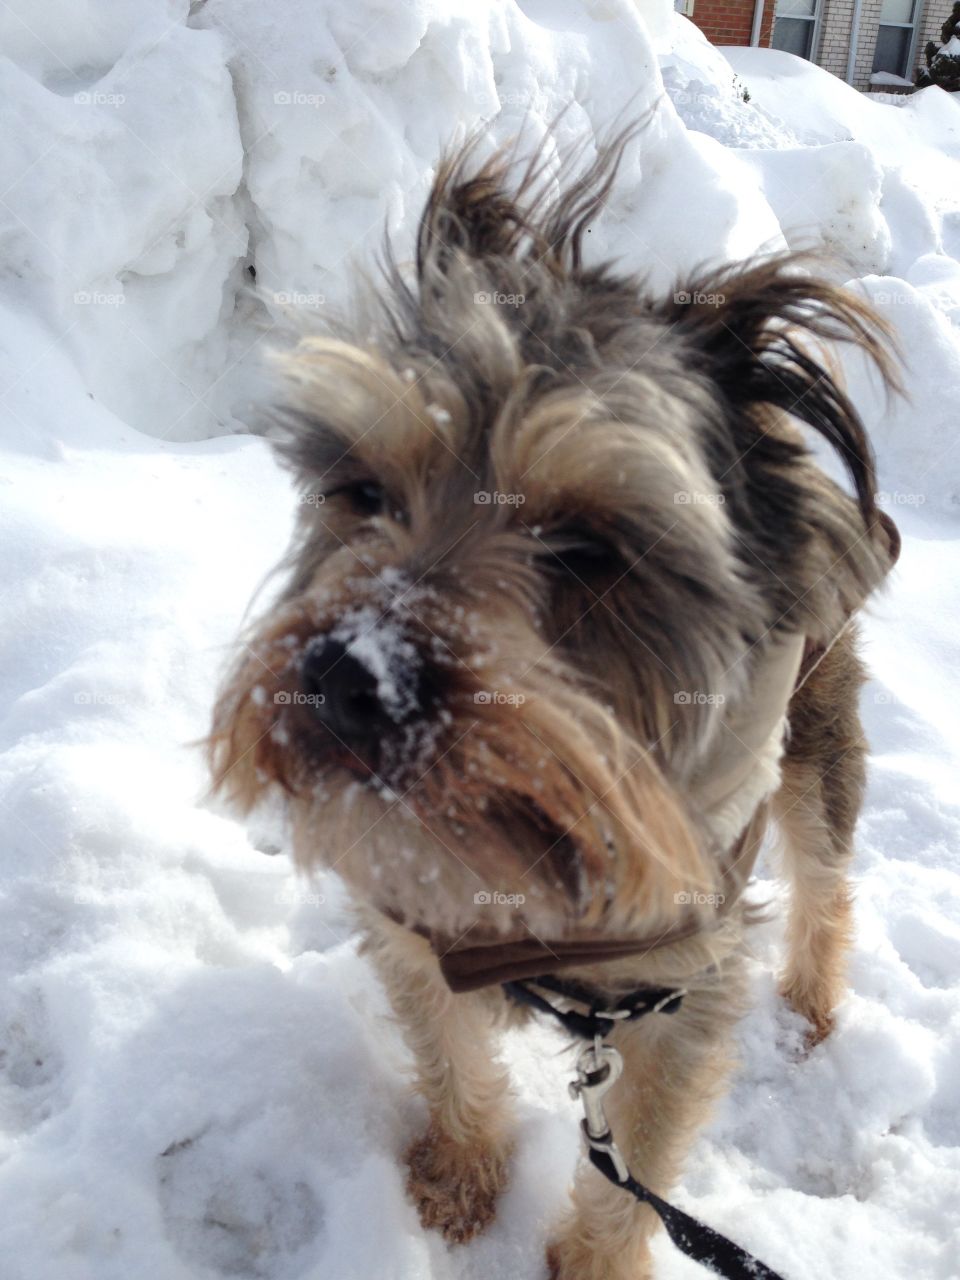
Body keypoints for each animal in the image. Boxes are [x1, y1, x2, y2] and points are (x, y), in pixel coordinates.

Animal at [208, 124, 901, 1274]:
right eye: (363, 491)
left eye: (587, 549)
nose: (347, 679)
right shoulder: (413, 912)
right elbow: (445, 1046)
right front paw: (458, 1176)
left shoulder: (683, 977)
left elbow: (641, 1152)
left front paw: (592, 1260)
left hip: (818, 728)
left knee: (825, 874)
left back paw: (809, 1006)